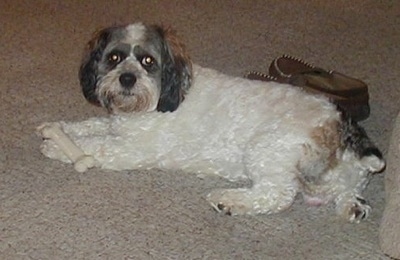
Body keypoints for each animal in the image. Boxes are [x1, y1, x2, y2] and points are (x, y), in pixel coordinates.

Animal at [39, 22, 386, 222]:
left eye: (148, 61)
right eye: (113, 58)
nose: (127, 78)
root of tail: (344, 130)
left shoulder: (131, 149)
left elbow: (94, 147)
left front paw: (58, 147)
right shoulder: (115, 126)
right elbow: (91, 125)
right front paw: (56, 129)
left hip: (268, 149)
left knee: (277, 195)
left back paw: (228, 200)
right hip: (335, 179)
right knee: (344, 193)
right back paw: (353, 207)